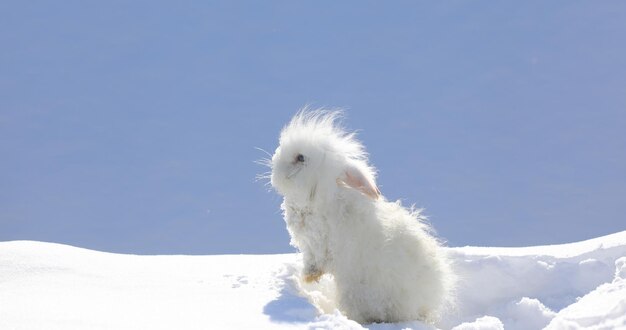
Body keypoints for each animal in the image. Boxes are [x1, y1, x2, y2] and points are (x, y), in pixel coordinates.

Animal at [268, 109, 454, 324]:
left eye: (300, 157)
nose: (275, 170)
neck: (318, 196)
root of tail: (420, 307)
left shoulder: (317, 244)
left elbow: (316, 262)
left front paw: (308, 277)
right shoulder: (308, 246)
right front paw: (307, 278)